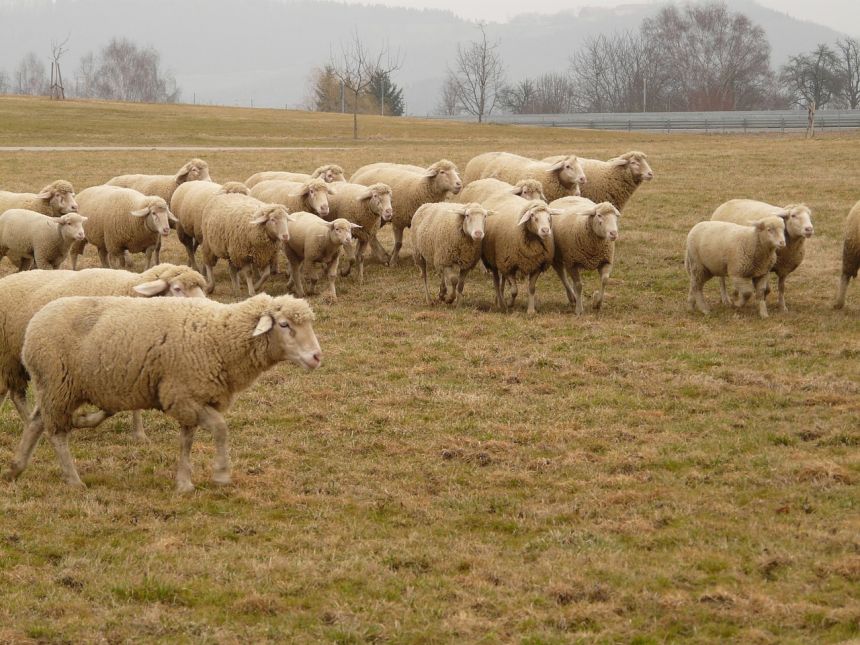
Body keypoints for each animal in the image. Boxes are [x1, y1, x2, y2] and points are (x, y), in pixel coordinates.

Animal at [0, 262, 207, 438]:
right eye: (177, 289)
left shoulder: (134, 358)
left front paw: (139, 433)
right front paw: (139, 433)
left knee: (12, 393)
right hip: (9, 357)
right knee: (14, 394)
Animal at [4, 294, 320, 490]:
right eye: (284, 325)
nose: (317, 357)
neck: (220, 336)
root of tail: (34, 323)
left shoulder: (193, 397)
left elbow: (187, 440)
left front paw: (184, 482)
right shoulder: (181, 394)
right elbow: (220, 429)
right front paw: (221, 474)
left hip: (54, 387)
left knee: (36, 422)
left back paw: (16, 467)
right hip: (58, 385)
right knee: (56, 433)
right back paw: (73, 479)